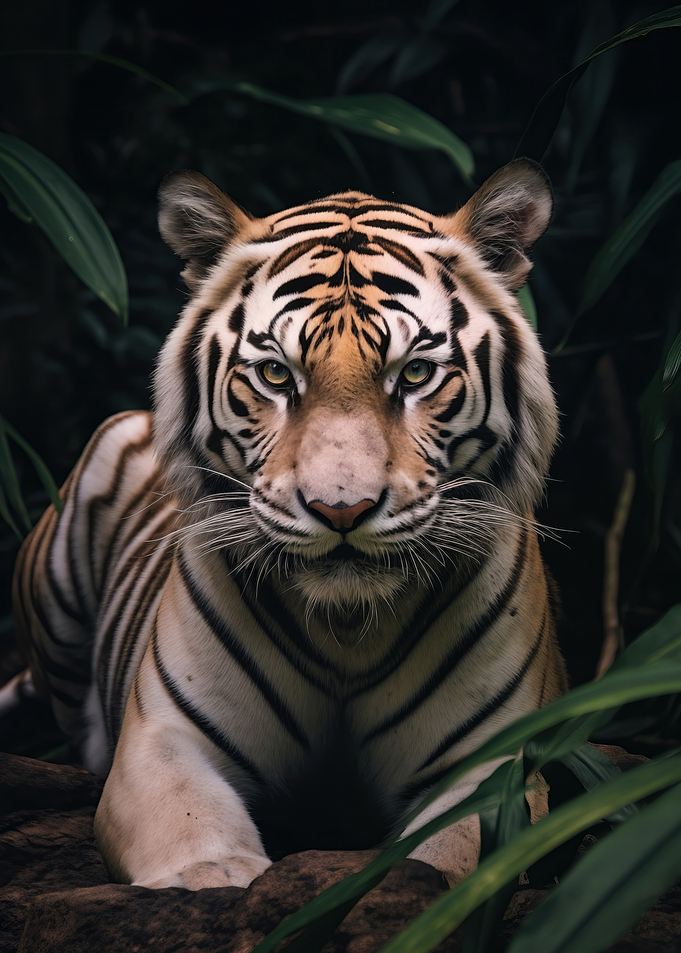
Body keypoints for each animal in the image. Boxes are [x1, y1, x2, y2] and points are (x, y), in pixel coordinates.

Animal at [12, 157, 567, 891]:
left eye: (416, 372)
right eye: (276, 374)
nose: (341, 510)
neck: (348, 631)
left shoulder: (493, 764)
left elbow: (445, 862)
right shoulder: (164, 739)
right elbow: (199, 849)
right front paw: (218, 880)